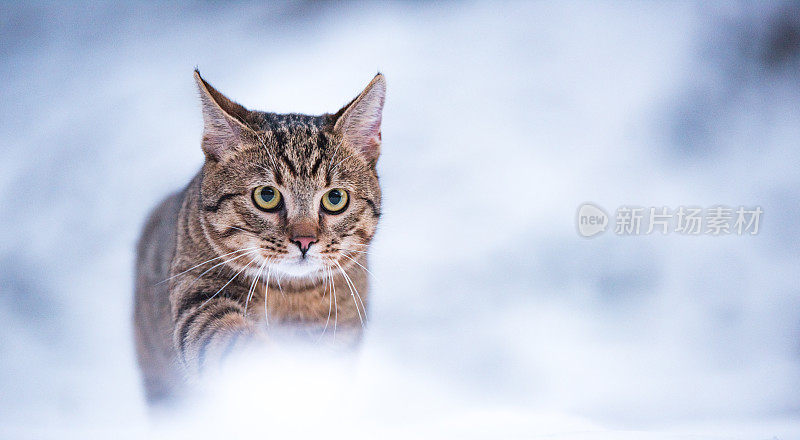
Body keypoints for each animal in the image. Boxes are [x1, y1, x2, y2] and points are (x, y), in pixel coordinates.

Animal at [133, 70, 386, 404]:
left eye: (335, 198)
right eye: (267, 195)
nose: (305, 241)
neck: (292, 295)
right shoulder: (199, 293)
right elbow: (231, 341)